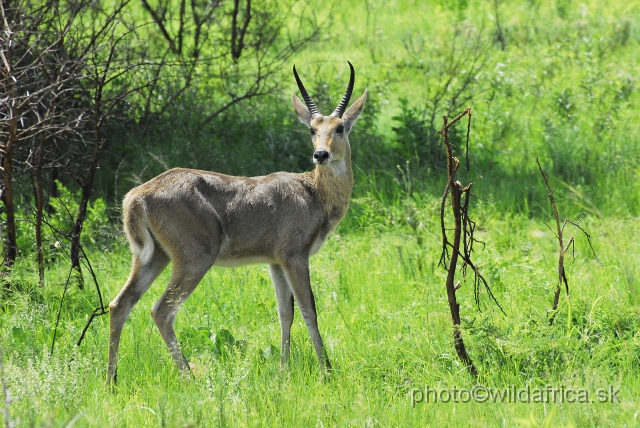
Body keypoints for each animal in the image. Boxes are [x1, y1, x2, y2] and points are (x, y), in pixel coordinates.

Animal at [105, 61, 364, 384]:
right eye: (312, 129)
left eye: (339, 127)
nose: (321, 154)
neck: (313, 192)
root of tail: (138, 195)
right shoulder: (295, 257)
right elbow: (309, 309)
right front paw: (326, 370)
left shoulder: (275, 261)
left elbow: (285, 312)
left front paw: (283, 369)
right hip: (194, 260)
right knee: (162, 311)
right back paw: (189, 377)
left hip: (153, 258)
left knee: (120, 304)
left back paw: (111, 381)